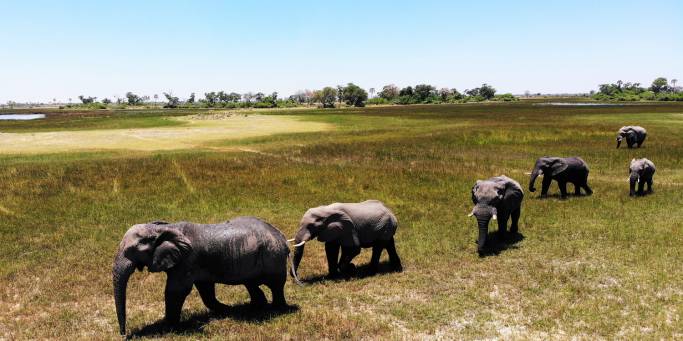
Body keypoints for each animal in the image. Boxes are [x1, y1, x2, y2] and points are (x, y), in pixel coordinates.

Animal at [113, 218, 290, 334]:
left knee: (275, 285)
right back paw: (254, 308)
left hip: (273, 256)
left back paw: (277, 309)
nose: (124, 334)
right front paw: (227, 311)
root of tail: (282, 237)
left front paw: (167, 328)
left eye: (131, 251)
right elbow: (205, 290)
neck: (162, 228)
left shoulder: (187, 259)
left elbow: (176, 291)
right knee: (251, 283)